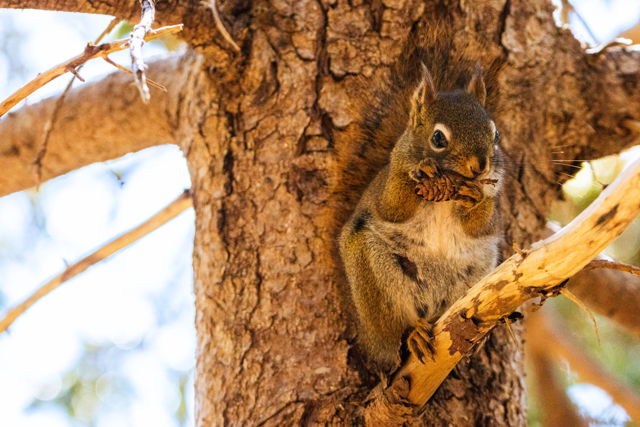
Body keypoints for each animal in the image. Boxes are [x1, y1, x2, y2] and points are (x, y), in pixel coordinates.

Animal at [333, 44, 505, 373]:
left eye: (496, 134)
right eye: (438, 138)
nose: (480, 166)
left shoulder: (491, 210)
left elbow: (480, 225)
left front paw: (475, 197)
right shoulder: (385, 195)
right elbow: (393, 207)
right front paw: (420, 172)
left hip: (475, 273)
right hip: (374, 277)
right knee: (395, 327)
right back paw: (411, 333)